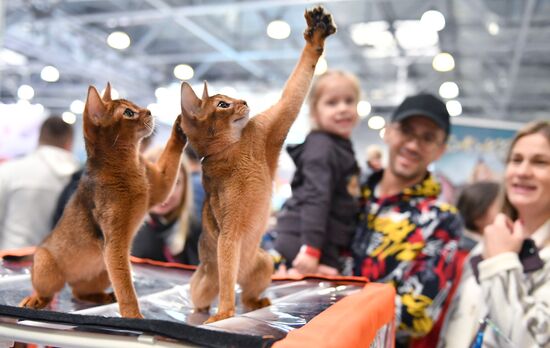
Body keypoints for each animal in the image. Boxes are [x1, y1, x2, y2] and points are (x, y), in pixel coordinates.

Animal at [20, 83, 188, 318]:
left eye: (135, 106)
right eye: (128, 113)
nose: (149, 111)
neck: (130, 165)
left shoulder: (160, 189)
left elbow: (171, 157)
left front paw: (181, 125)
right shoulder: (115, 244)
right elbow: (126, 289)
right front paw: (134, 317)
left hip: (102, 269)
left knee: (79, 292)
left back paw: (104, 297)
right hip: (47, 265)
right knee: (50, 291)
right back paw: (35, 299)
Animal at [181, 6, 336, 324]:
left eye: (230, 98)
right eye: (222, 104)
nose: (243, 99)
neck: (234, 147)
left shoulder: (271, 126)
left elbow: (296, 86)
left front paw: (316, 33)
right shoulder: (228, 230)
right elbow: (227, 271)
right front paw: (224, 312)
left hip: (263, 262)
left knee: (247, 292)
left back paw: (260, 301)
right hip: (205, 278)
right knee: (213, 290)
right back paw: (206, 310)